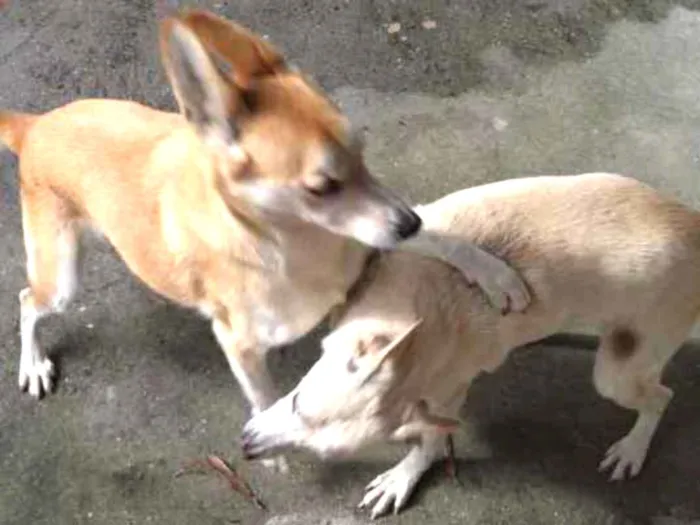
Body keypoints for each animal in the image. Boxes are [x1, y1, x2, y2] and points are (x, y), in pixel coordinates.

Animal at [0, 8, 528, 468]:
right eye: (321, 187)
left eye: (363, 153)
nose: (407, 223)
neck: (297, 245)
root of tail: (35, 125)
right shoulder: (240, 343)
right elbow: (263, 393)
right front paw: (274, 439)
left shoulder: (367, 239)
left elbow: (442, 239)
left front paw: (493, 272)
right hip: (63, 281)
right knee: (28, 300)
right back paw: (33, 362)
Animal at [243, 172, 700, 512]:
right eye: (297, 400)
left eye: (324, 453)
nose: (247, 448)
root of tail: (693, 224)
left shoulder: (446, 393)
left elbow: (429, 442)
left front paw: (403, 476)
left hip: (618, 371)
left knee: (661, 397)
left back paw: (632, 449)